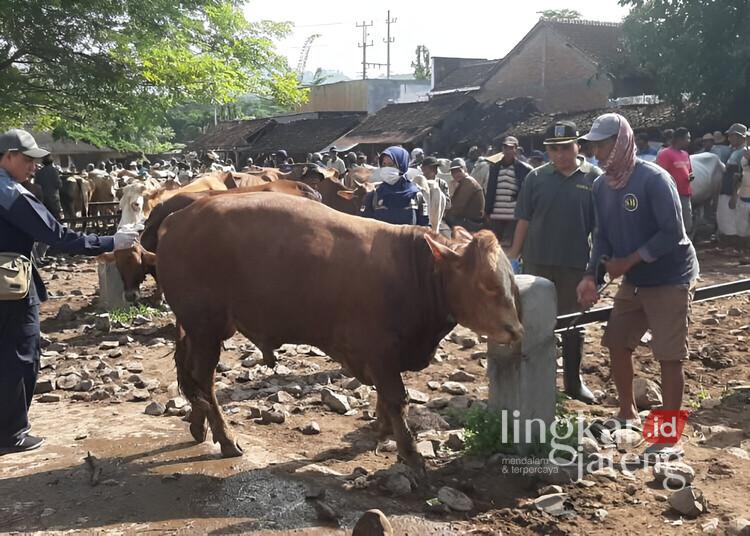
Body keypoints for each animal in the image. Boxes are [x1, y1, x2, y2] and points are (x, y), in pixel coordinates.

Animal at [159, 193, 524, 474]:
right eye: (487, 284)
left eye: (509, 278)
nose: (516, 330)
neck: (413, 270)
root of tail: (178, 219)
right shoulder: (380, 351)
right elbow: (397, 398)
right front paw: (411, 454)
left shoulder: (383, 358)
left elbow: (385, 398)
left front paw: (382, 429)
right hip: (206, 329)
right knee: (204, 382)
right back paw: (225, 438)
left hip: (200, 331)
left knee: (192, 378)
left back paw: (198, 425)